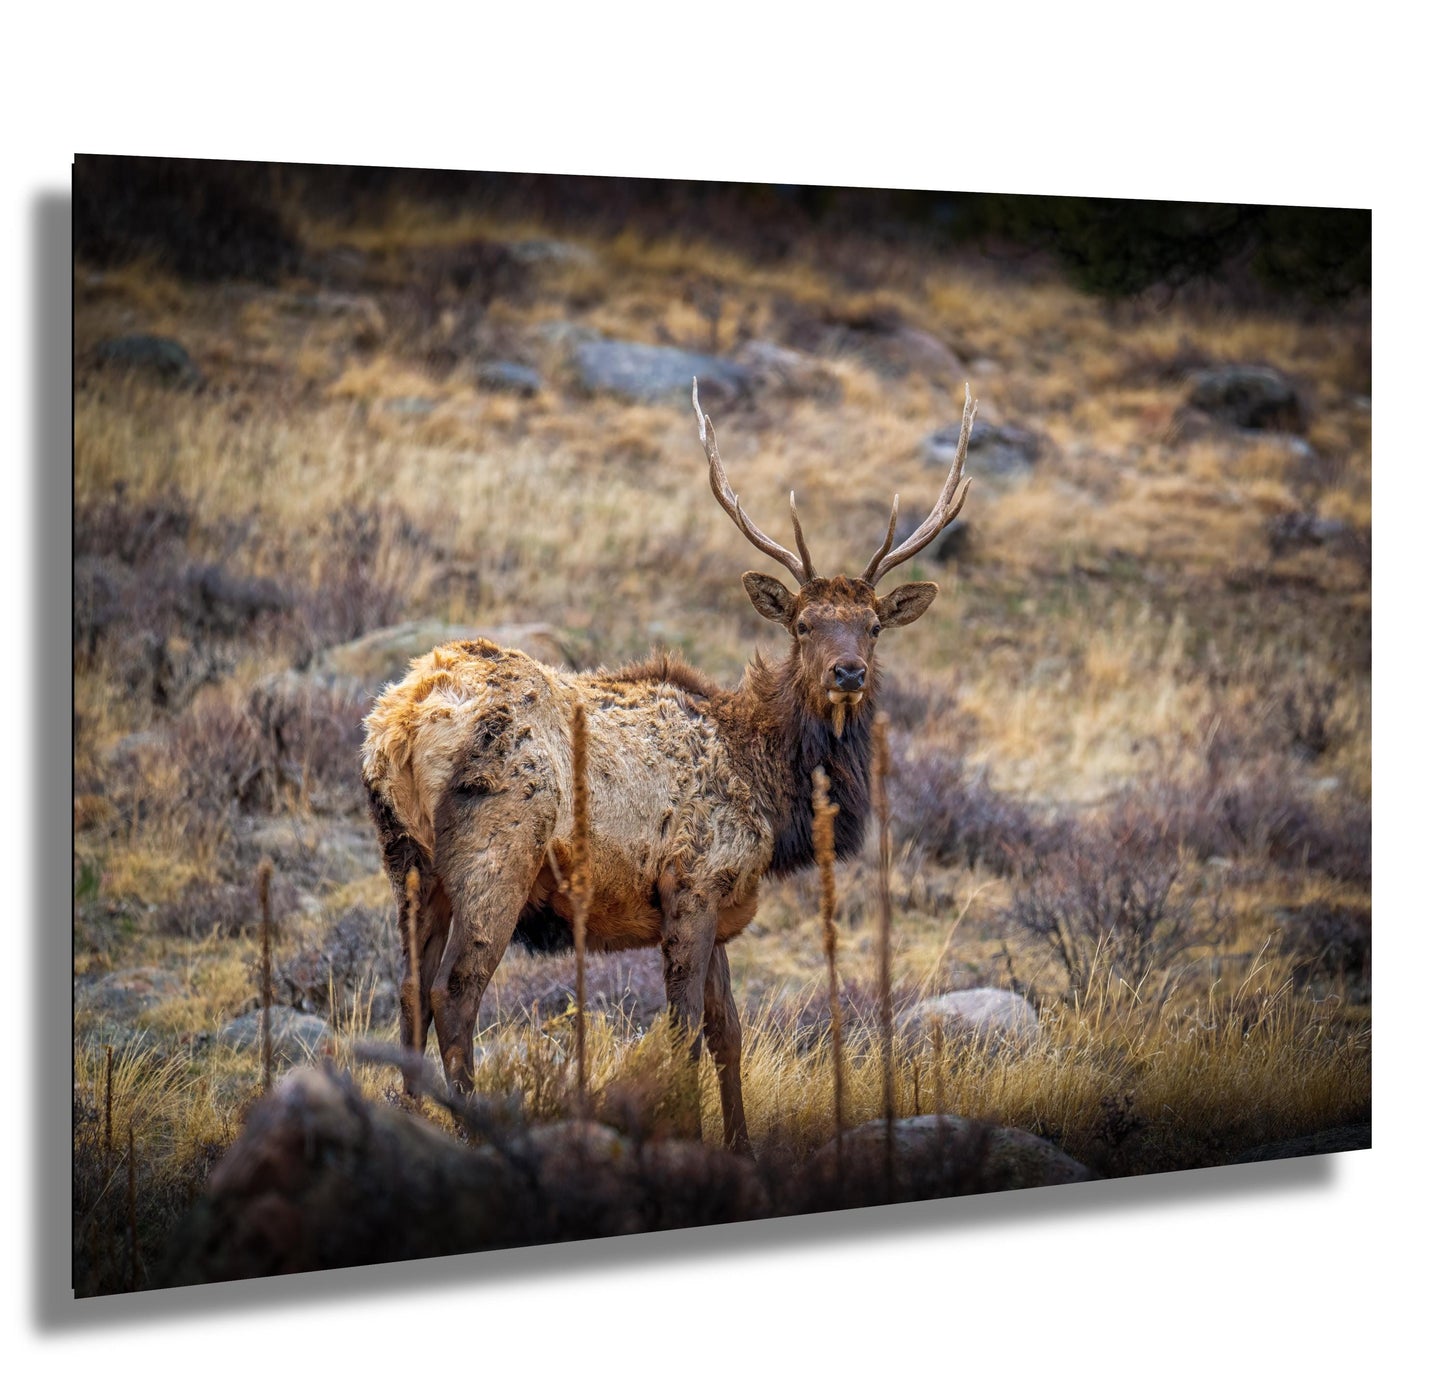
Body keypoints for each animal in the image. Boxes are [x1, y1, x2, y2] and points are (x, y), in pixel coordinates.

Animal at [361, 381, 976, 1152]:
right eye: (802, 624)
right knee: (456, 990)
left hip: (406, 860)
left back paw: (410, 1122)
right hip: (496, 847)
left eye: (872, 625)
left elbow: (728, 1031)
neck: (769, 785)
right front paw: (685, 1134)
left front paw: (740, 1144)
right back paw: (474, 1130)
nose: (848, 672)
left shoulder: (717, 896)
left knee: (409, 989)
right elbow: (683, 1032)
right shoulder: (693, 878)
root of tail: (405, 719)